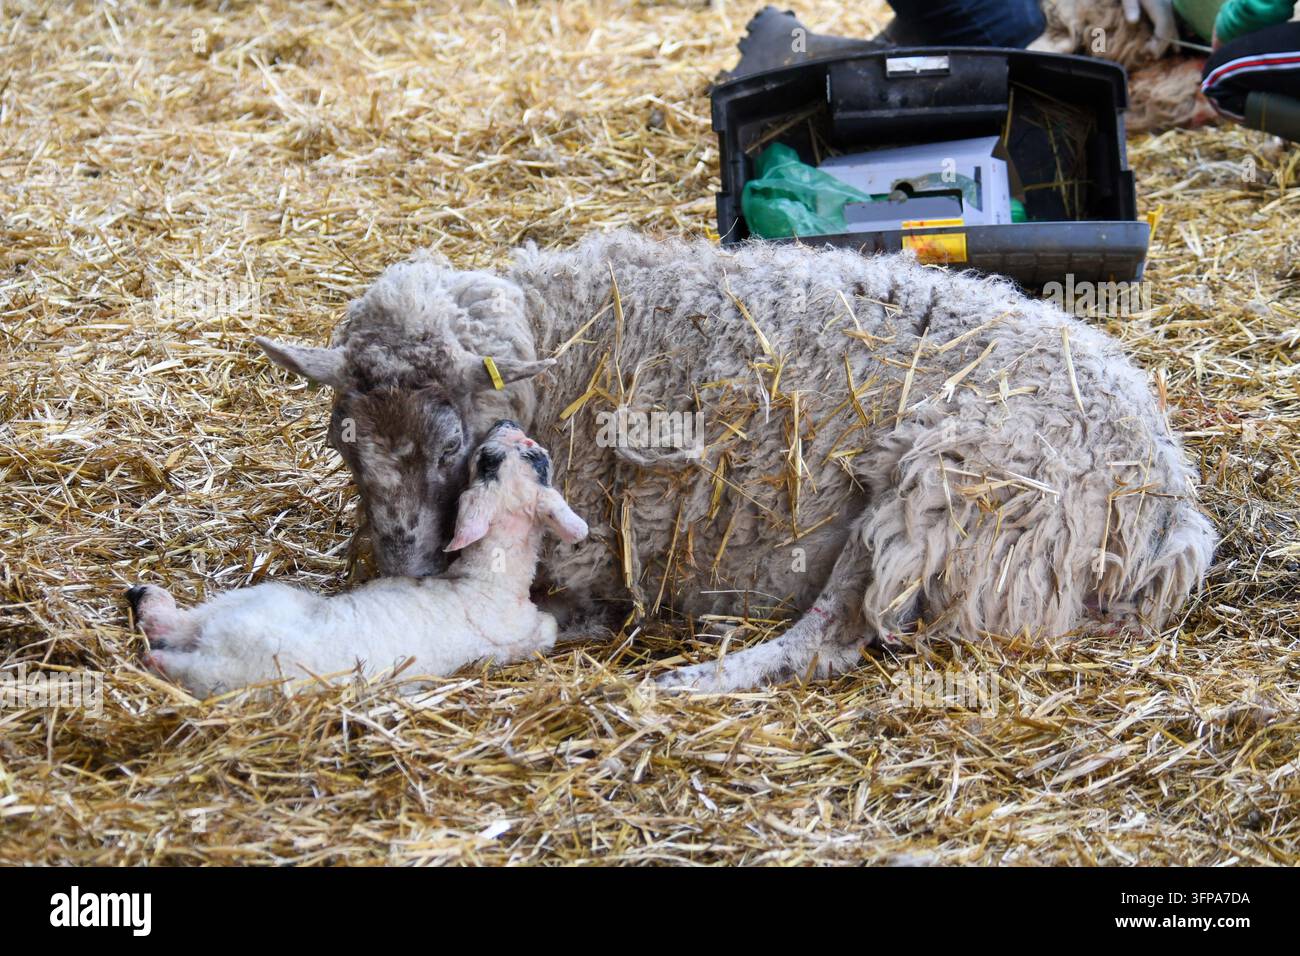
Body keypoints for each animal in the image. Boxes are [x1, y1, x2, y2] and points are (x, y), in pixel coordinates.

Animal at [127, 421, 588, 697]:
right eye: (490, 460)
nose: (505, 424)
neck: (490, 580)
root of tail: (219, 651)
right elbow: (548, 629)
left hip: (246, 615)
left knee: (173, 639)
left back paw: (149, 612)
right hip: (260, 610)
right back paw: (149, 613)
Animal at [257, 230, 1217, 692]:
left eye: (451, 444)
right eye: (346, 441)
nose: (407, 568)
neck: (555, 344)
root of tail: (1167, 505)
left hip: (942, 490)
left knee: (828, 640)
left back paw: (688, 679)